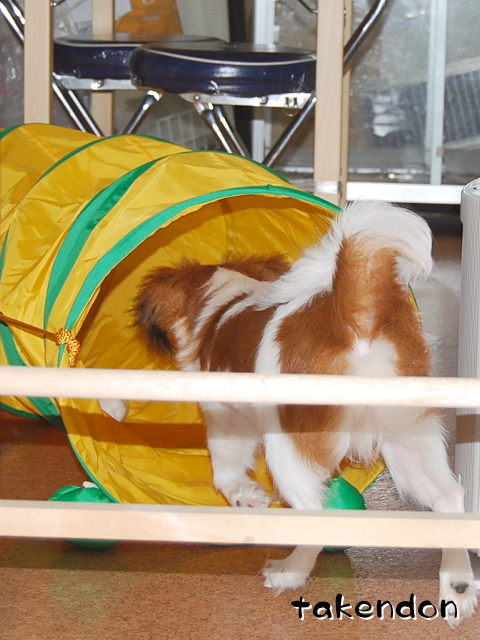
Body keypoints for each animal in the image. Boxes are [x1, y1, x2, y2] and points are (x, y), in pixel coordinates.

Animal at [115, 200, 478, 626]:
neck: (224, 305)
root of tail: (354, 318)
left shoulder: (224, 419)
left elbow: (226, 474)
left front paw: (246, 497)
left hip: (288, 450)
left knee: (315, 516)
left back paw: (289, 573)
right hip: (408, 443)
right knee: (449, 498)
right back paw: (458, 588)